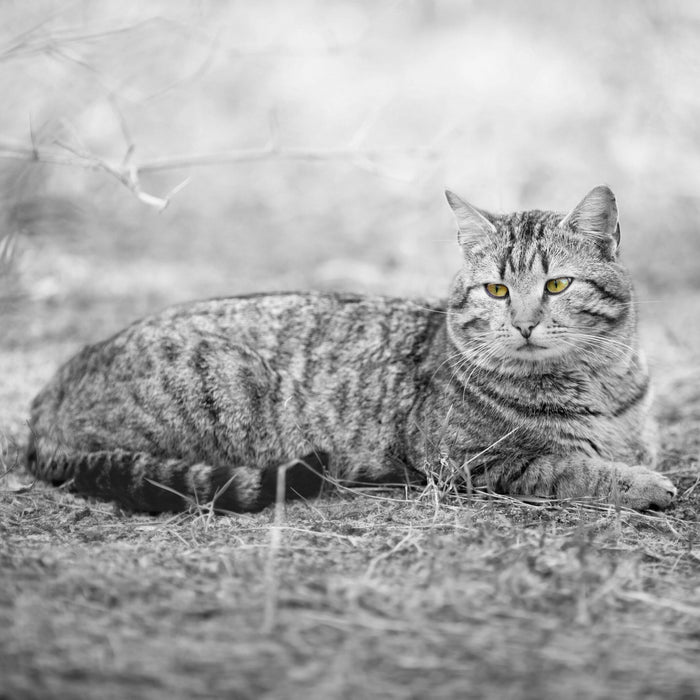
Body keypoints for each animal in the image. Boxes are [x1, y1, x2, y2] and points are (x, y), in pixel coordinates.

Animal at [27, 185, 680, 516]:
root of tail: (53, 386)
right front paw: (641, 484)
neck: (599, 383)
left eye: (557, 285)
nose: (522, 324)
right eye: (496, 290)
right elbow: (569, 466)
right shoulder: (466, 460)